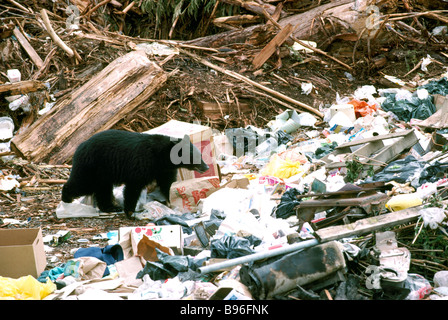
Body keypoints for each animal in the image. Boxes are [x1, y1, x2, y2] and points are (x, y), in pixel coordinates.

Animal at [61, 129, 210, 218]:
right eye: (196, 156)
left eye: (201, 155)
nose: (206, 167)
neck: (162, 156)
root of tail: (80, 146)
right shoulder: (142, 163)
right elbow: (134, 186)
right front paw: (130, 211)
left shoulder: (163, 169)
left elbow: (167, 183)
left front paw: (171, 201)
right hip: (93, 166)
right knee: (82, 183)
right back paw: (66, 199)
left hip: (103, 172)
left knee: (103, 189)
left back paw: (110, 207)